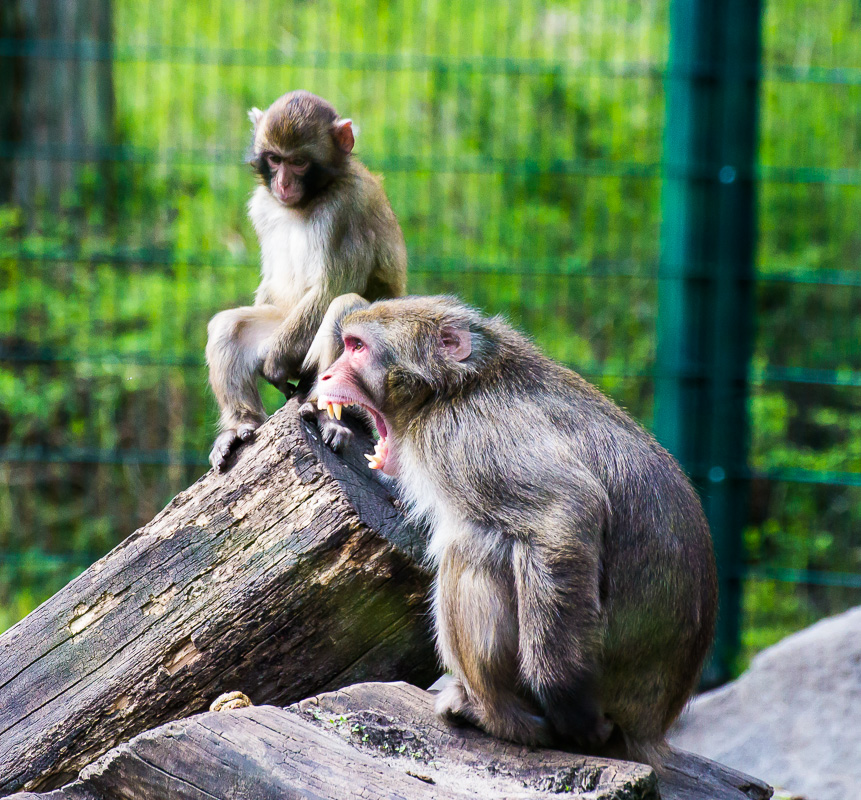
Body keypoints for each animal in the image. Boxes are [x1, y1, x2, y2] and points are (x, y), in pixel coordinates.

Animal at [208, 91, 410, 472]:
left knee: (345, 307)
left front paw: (274, 366)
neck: (309, 199)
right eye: (275, 159)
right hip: (285, 324)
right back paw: (241, 424)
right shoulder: (262, 205)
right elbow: (270, 281)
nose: (283, 183)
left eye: (299, 162)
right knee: (229, 325)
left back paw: (324, 412)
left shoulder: (347, 208)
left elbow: (333, 286)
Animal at [312, 296, 716, 764]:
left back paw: (499, 716)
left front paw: (566, 700)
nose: (326, 375)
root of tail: (651, 728)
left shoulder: (462, 435)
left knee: (474, 544)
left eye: (357, 348)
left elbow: (566, 512)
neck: (456, 389)